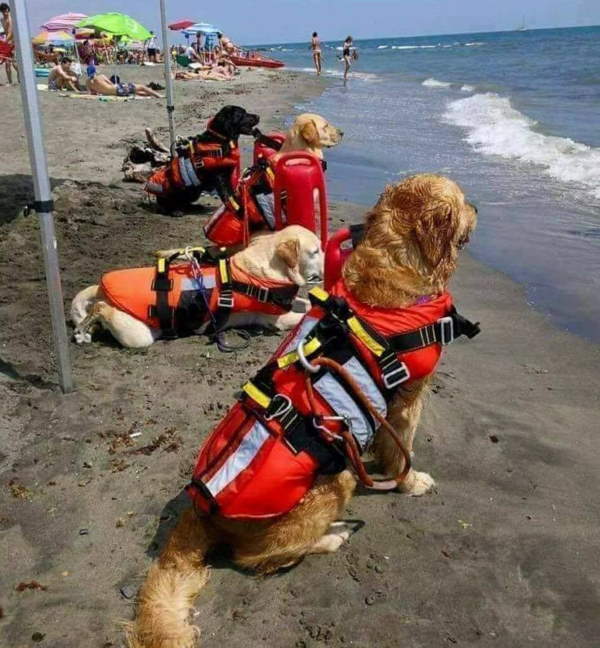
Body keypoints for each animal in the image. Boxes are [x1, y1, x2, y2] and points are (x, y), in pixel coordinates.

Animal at [70, 227, 324, 350]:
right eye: (315, 251)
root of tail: (101, 288)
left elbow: (306, 303)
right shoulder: (277, 319)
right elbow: (301, 316)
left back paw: (89, 329)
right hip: (138, 335)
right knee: (100, 309)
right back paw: (85, 327)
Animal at [124, 173, 480, 648]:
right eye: (462, 199)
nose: (478, 206)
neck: (392, 265)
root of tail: (200, 508)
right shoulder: (408, 399)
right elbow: (402, 449)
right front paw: (411, 482)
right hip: (337, 479)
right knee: (259, 557)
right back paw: (332, 537)